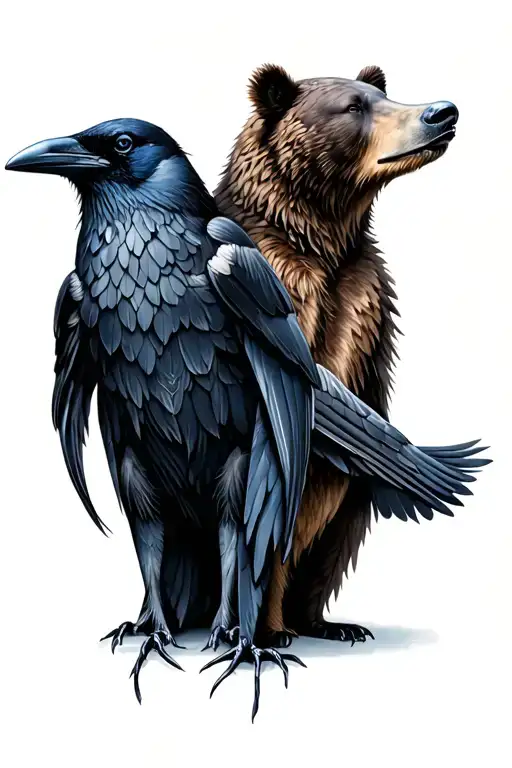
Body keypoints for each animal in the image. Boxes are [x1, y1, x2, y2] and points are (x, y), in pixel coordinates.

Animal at [214, 63, 459, 644]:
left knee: (341, 529)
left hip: (354, 503)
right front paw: (269, 628)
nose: (442, 112)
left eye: (381, 94)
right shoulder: (276, 277)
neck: (320, 233)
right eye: (353, 107)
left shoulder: (363, 298)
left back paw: (325, 622)